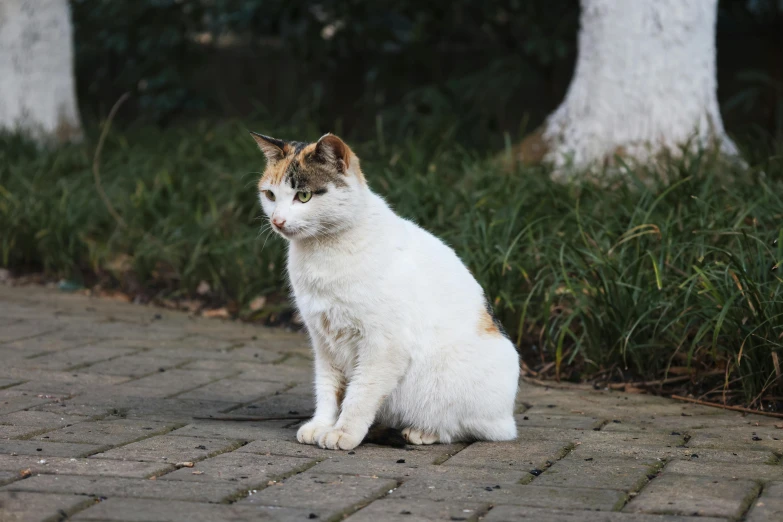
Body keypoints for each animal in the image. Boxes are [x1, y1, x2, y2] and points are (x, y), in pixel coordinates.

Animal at [253, 129, 520, 446]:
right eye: (270, 195)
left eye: (303, 196)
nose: (277, 220)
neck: (321, 253)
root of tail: (507, 418)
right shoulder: (324, 341)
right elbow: (328, 389)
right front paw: (321, 425)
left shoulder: (383, 345)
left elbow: (360, 394)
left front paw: (343, 432)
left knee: (462, 427)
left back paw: (421, 431)